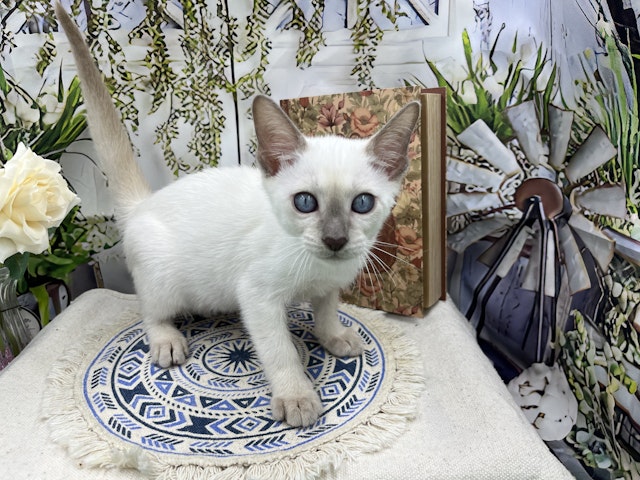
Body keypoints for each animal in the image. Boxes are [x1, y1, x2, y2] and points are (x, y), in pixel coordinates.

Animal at [55, 2, 419, 427]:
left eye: (362, 203)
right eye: (305, 203)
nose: (335, 239)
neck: (317, 267)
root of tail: (144, 203)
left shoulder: (329, 287)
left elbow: (327, 313)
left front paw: (335, 337)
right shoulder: (258, 296)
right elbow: (280, 351)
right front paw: (297, 397)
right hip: (165, 280)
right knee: (151, 313)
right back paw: (167, 340)